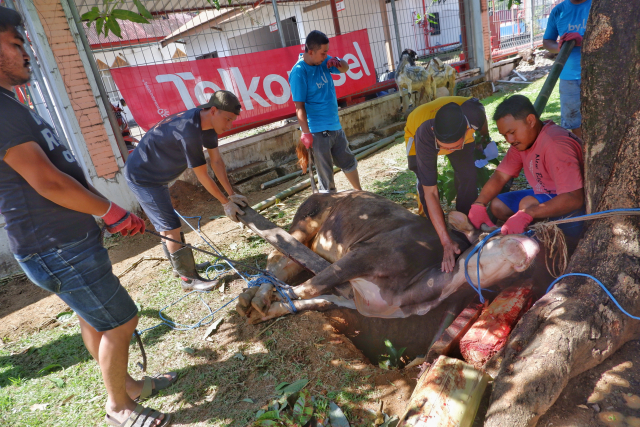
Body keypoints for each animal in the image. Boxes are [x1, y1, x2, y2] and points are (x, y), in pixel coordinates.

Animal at [236, 191, 540, 324]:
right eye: (497, 233)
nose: (533, 243)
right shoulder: (364, 254)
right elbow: (308, 287)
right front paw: (269, 303)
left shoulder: (357, 301)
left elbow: (317, 300)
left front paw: (271, 310)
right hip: (302, 224)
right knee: (278, 256)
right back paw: (254, 298)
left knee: (282, 264)